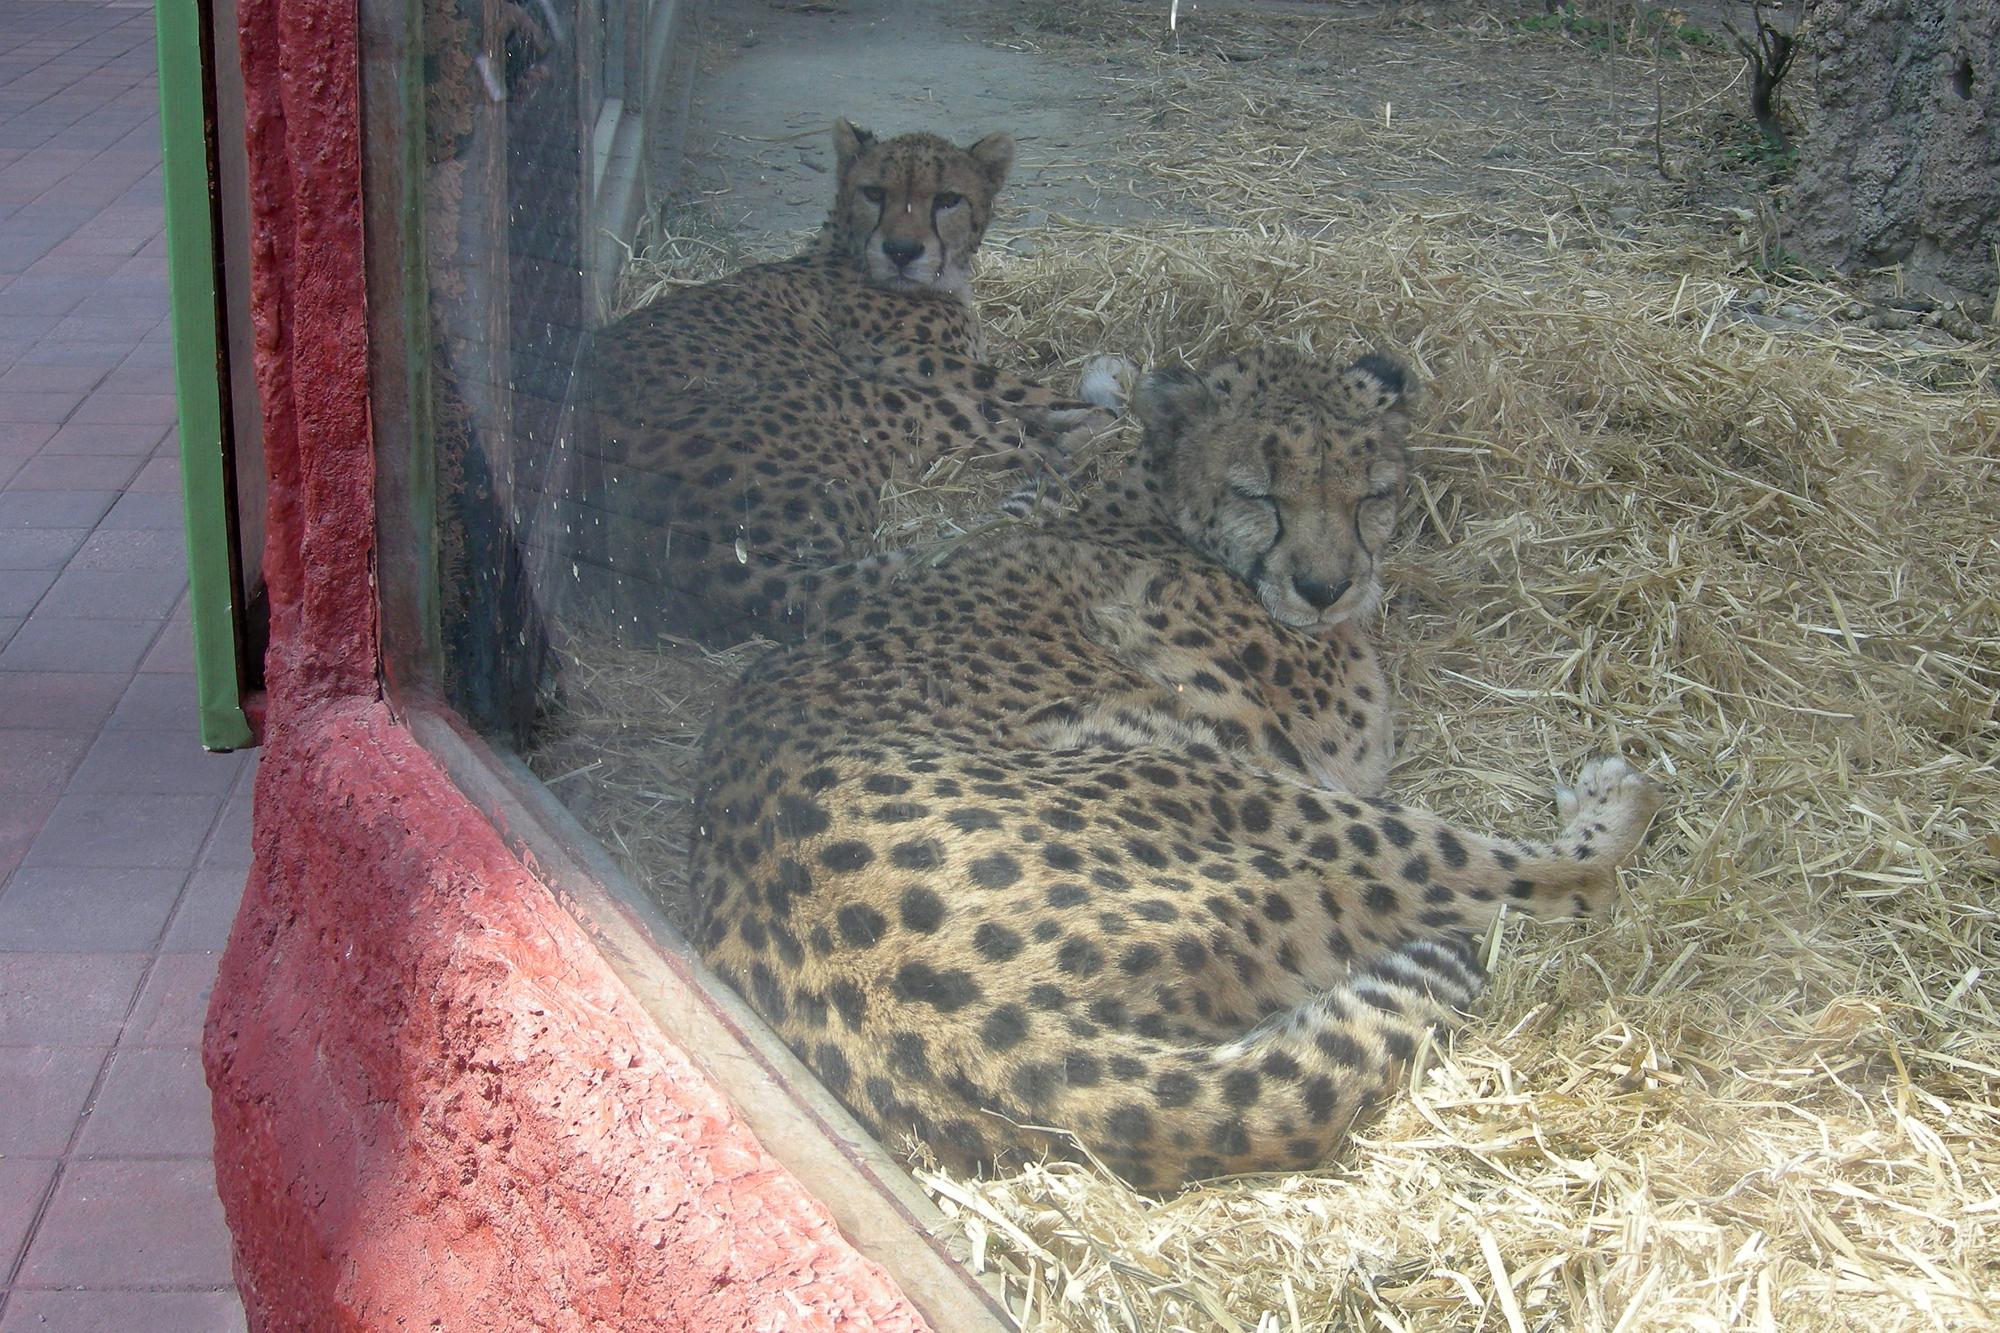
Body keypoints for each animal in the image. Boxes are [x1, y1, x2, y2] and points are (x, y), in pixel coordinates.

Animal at [572, 122, 1120, 640]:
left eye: (947, 199)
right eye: (874, 192)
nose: (901, 250)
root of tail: (702, 562)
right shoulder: (904, 358)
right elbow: (1023, 390)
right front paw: (1101, 406)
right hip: (876, 397)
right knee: (1034, 440)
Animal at [688, 342, 1656, 1184]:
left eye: (1370, 493)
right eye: (1263, 493)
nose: (1324, 588)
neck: (1156, 500)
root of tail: (966, 1029)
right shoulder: (1335, 743)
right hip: (1235, 787)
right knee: (1543, 881)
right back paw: (1610, 806)